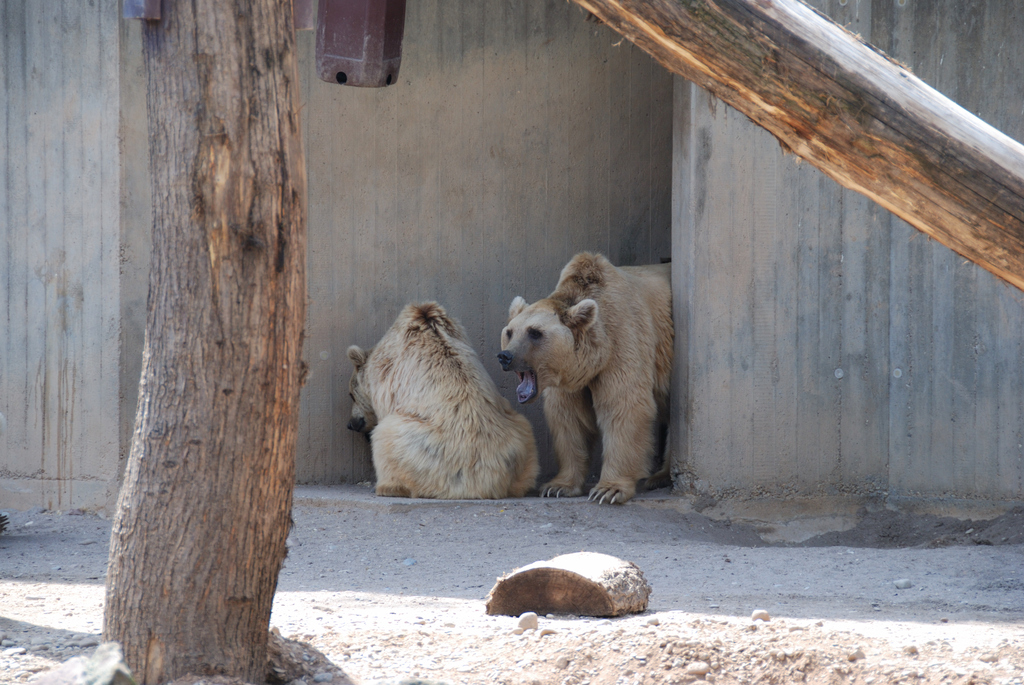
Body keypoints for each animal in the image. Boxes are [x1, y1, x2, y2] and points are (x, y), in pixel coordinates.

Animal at [346, 302, 539, 499]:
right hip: (521, 435)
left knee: (386, 437)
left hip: (426, 451)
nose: (351, 423)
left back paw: (386, 486)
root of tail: (489, 480)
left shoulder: (386, 376)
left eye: (350, 395)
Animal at [497, 252, 672, 504]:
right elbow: (570, 421)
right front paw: (557, 486)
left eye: (534, 332)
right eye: (510, 332)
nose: (505, 356)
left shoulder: (622, 344)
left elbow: (623, 406)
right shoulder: (569, 381)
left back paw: (661, 476)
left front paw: (608, 490)